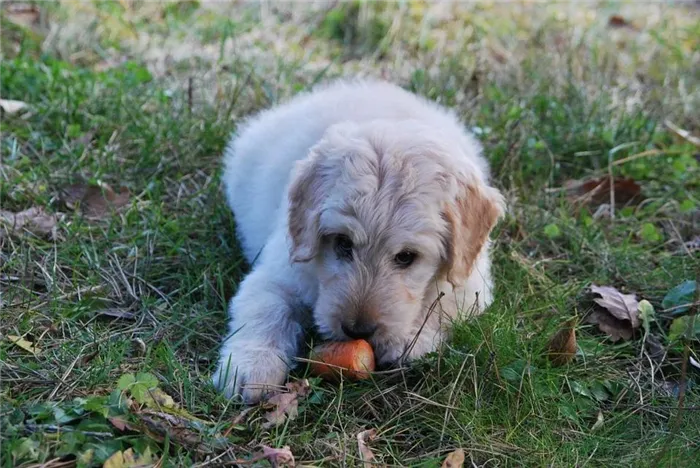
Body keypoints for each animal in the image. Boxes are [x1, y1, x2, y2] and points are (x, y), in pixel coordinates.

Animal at [213, 77, 504, 402]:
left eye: (406, 257)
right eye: (342, 242)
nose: (358, 330)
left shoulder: (472, 283)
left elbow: (442, 305)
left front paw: (411, 339)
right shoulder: (279, 272)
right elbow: (265, 309)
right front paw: (250, 366)